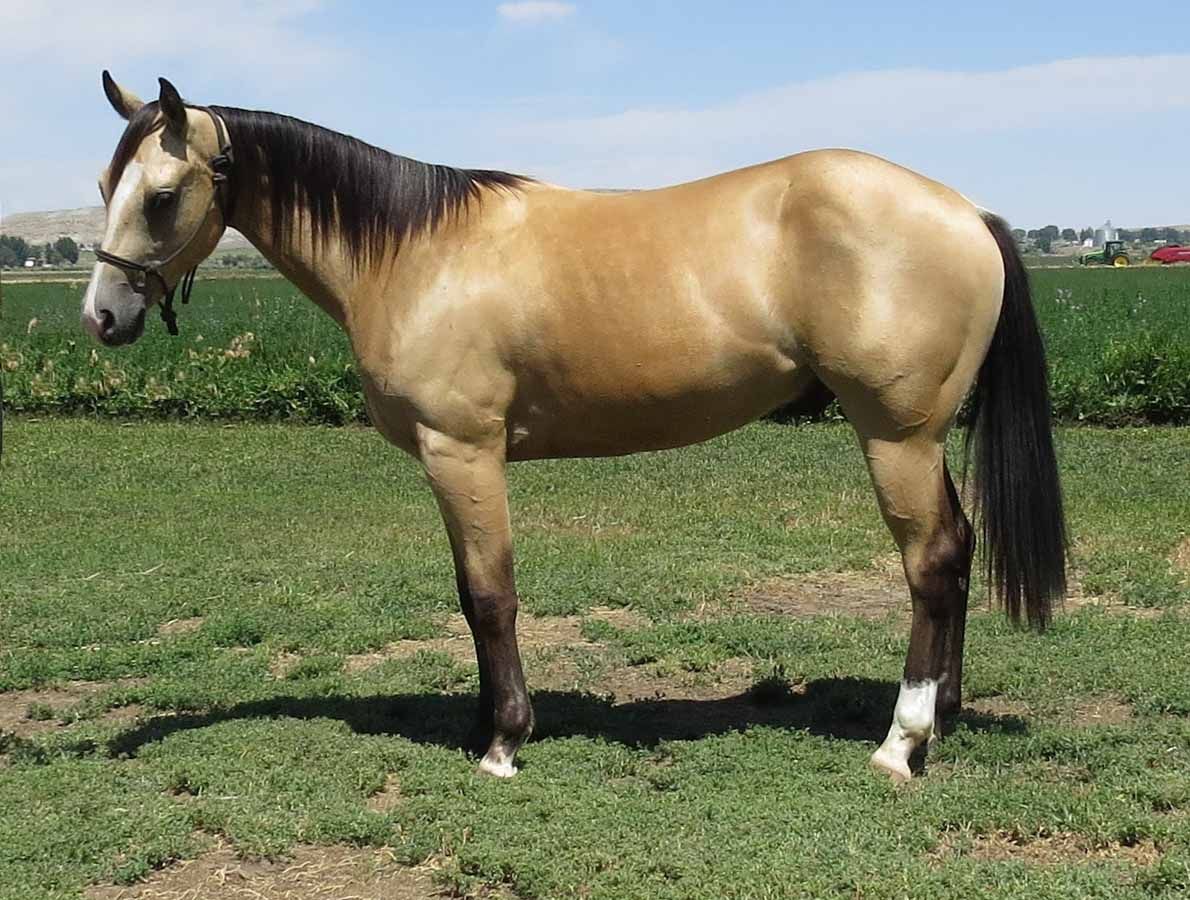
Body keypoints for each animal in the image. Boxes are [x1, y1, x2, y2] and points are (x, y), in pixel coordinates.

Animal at [82, 74, 1067, 782]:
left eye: (161, 196)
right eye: (104, 183)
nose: (101, 316)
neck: (415, 251)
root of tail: (966, 210)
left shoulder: (463, 453)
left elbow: (492, 596)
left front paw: (504, 743)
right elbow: (468, 597)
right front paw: (484, 722)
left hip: (895, 437)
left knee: (930, 563)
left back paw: (902, 743)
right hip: (920, 441)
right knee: (959, 549)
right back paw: (942, 716)